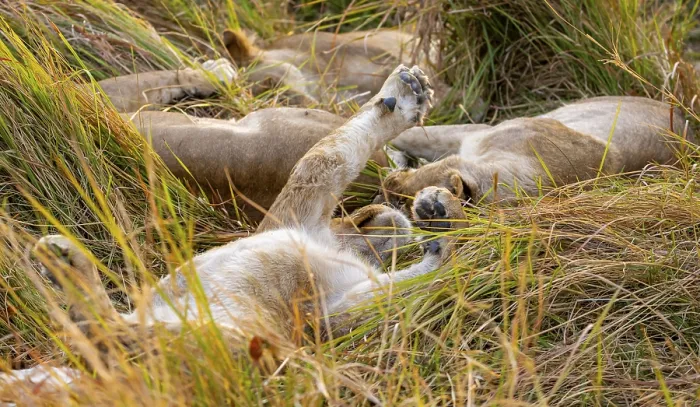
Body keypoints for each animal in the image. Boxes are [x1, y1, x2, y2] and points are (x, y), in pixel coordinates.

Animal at [31, 66, 468, 375]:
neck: (337, 242)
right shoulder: (300, 210)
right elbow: (336, 150)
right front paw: (406, 92)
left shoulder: (321, 314)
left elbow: (398, 293)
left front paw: (443, 220)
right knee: (102, 335)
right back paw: (64, 264)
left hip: (235, 343)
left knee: (103, 335)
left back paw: (64, 264)